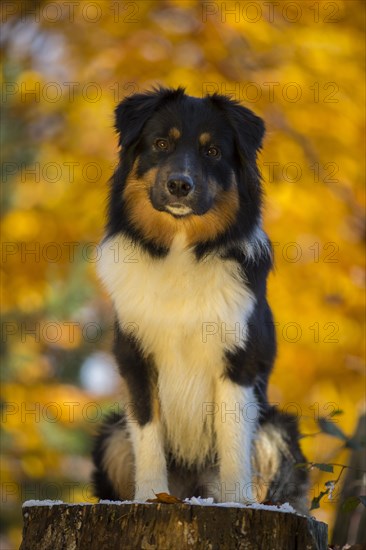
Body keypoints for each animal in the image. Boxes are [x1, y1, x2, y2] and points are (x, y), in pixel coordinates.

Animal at [92, 86, 308, 512]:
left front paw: (237, 501)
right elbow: (148, 433)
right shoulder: (136, 357)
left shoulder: (238, 360)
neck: (182, 249)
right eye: (161, 144)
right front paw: (148, 497)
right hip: (111, 434)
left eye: (212, 151)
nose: (180, 185)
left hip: (277, 430)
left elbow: (233, 439)